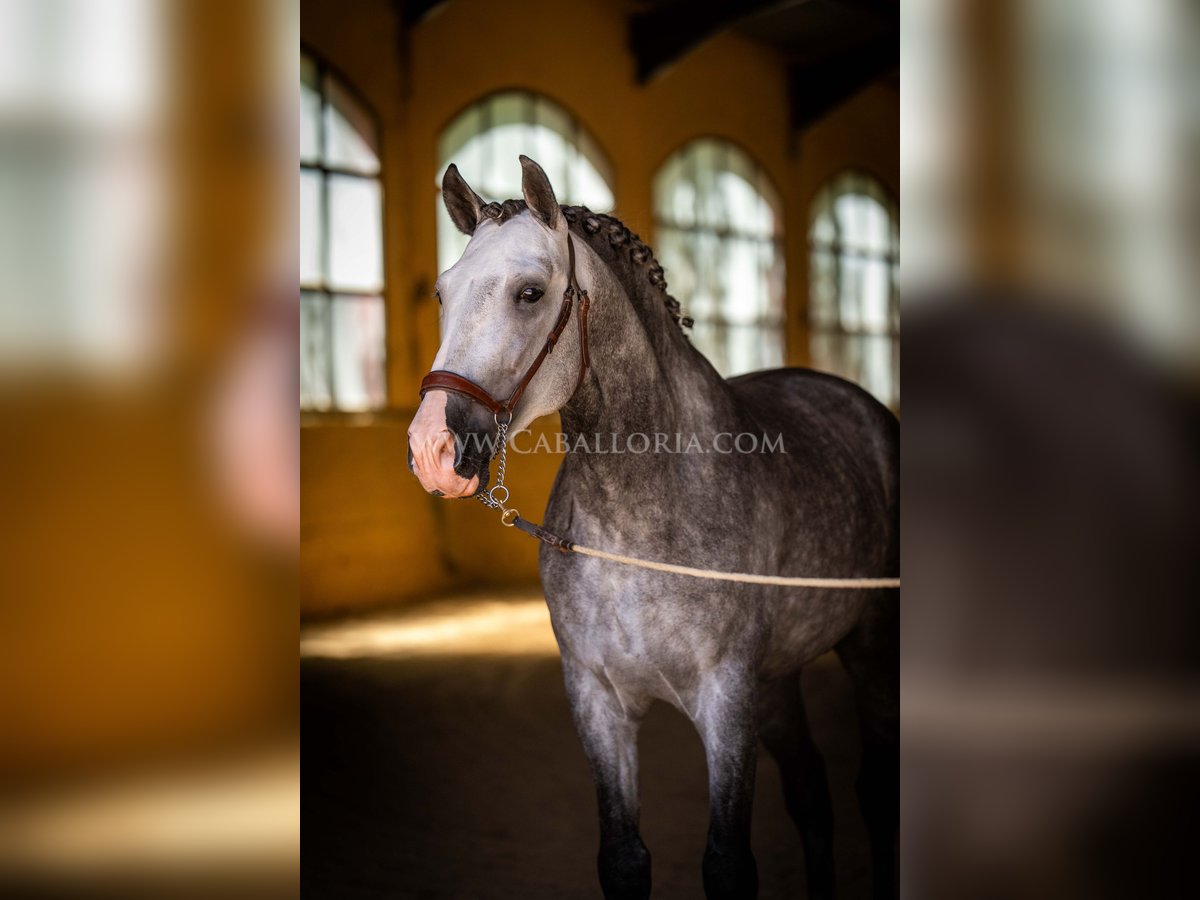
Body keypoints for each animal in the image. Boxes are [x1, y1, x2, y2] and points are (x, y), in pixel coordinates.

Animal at [408, 157, 897, 900]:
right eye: (442, 293)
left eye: (530, 292)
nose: (433, 449)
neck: (638, 521)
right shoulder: (598, 701)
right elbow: (624, 858)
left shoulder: (726, 701)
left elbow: (728, 863)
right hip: (779, 680)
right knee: (813, 790)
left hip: (869, 648)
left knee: (873, 789)